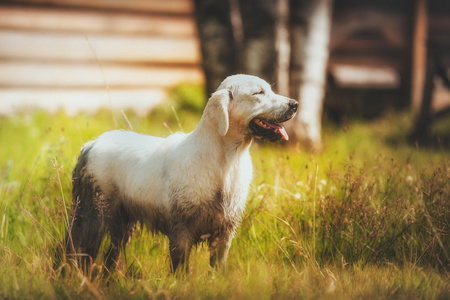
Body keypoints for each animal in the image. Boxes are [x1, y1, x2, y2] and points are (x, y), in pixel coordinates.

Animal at [59, 74, 298, 274]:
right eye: (258, 93)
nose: (294, 104)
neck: (225, 162)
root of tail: (91, 144)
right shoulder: (181, 232)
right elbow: (181, 272)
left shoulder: (224, 234)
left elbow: (217, 270)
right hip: (93, 216)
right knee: (82, 253)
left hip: (122, 224)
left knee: (111, 256)